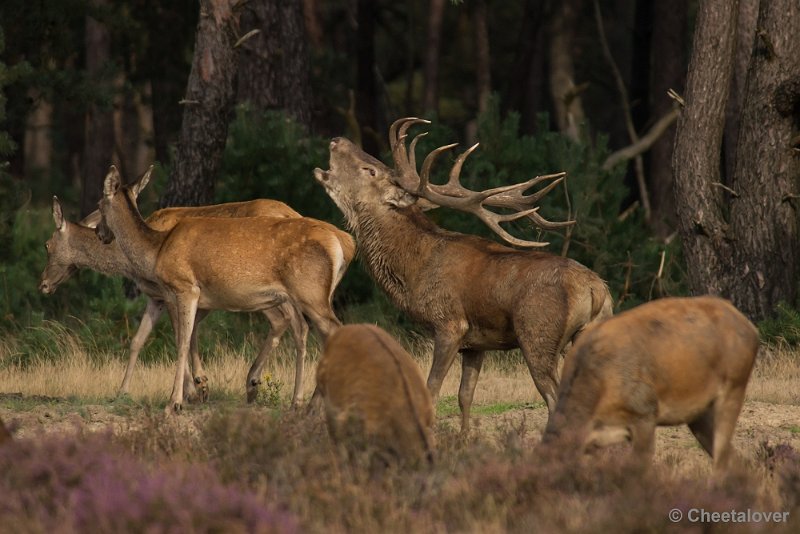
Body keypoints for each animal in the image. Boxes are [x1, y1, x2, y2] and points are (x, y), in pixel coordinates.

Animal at [97, 168, 354, 414]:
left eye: (99, 205)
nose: (101, 233)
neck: (156, 249)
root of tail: (344, 242)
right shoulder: (167, 296)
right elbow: (146, 339)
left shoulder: (185, 288)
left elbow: (181, 341)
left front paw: (177, 401)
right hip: (308, 296)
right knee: (314, 332)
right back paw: (305, 403)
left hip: (308, 292)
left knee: (328, 330)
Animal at [312, 119, 612, 434]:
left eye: (370, 170)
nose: (336, 139)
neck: (413, 272)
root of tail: (597, 290)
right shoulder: (476, 343)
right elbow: (464, 396)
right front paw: (465, 438)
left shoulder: (449, 323)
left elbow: (431, 389)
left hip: (538, 333)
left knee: (554, 400)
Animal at [540, 296, 760, 476]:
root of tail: (752, 329)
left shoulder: (644, 412)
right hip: (699, 413)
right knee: (733, 459)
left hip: (735, 384)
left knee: (723, 457)